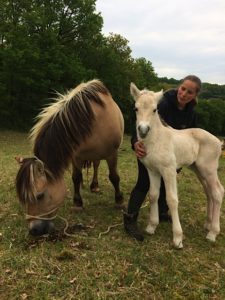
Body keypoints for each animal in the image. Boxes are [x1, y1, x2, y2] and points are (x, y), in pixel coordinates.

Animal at [15, 79, 125, 237]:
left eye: (40, 196)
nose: (34, 230)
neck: (91, 119)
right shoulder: (76, 156)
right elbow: (76, 177)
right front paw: (78, 203)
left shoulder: (112, 154)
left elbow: (114, 177)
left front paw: (119, 200)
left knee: (97, 166)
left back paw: (95, 186)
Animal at [130, 81, 223, 248]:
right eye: (136, 108)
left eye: (155, 110)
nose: (143, 130)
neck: (157, 139)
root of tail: (218, 142)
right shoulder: (152, 170)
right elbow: (153, 195)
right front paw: (151, 226)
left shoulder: (169, 171)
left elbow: (172, 199)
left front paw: (178, 238)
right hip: (199, 170)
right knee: (209, 193)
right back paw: (208, 224)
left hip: (209, 170)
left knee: (218, 193)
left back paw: (212, 233)